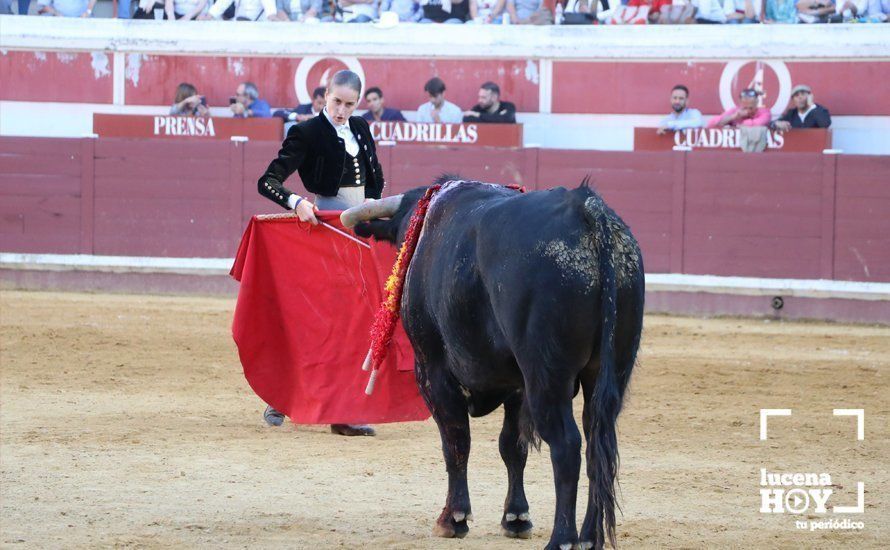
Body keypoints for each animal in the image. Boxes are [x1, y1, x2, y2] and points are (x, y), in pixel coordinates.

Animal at [344, 181, 640, 550]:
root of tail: (585, 208)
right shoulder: (516, 386)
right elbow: (512, 446)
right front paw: (516, 517)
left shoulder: (432, 370)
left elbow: (456, 440)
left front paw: (453, 518)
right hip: (608, 371)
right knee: (597, 443)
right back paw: (588, 538)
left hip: (547, 376)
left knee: (567, 445)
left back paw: (562, 539)